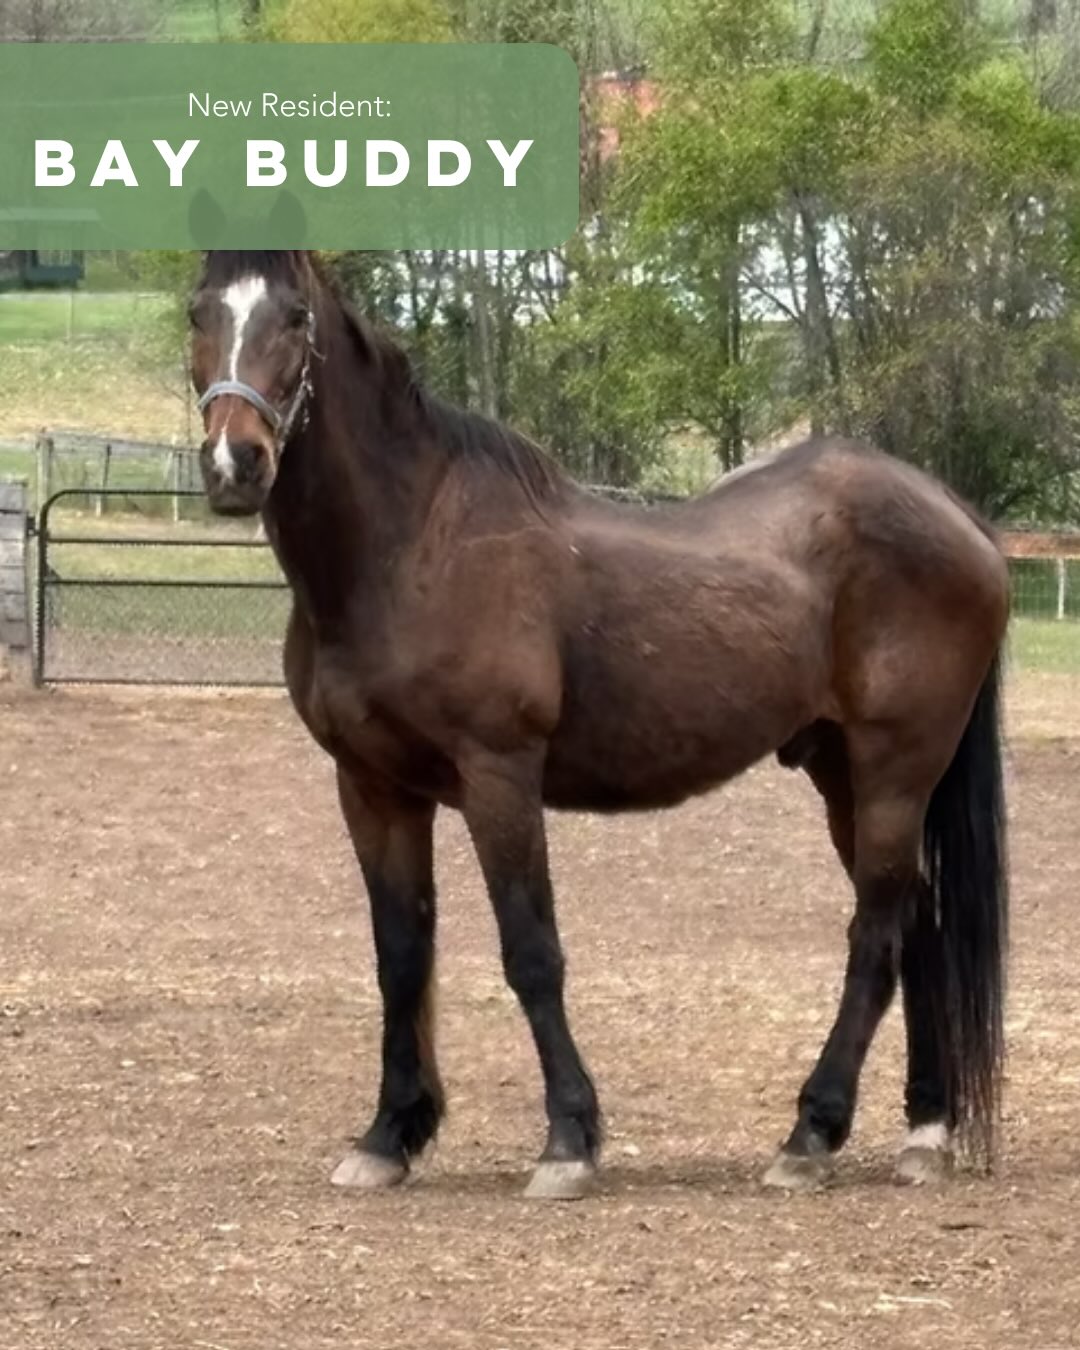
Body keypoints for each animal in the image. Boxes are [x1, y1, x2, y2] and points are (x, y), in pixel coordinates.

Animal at [189, 249, 1009, 1200]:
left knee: (876, 936)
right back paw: (925, 1130)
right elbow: (401, 954)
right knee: (921, 929)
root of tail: (958, 516)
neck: (413, 545)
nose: (235, 461)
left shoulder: (499, 777)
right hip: (844, 774)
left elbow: (531, 953)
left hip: (894, 771)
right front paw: (389, 1135)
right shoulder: (372, 787)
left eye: (294, 318)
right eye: (198, 312)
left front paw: (568, 1142)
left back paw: (811, 1134)